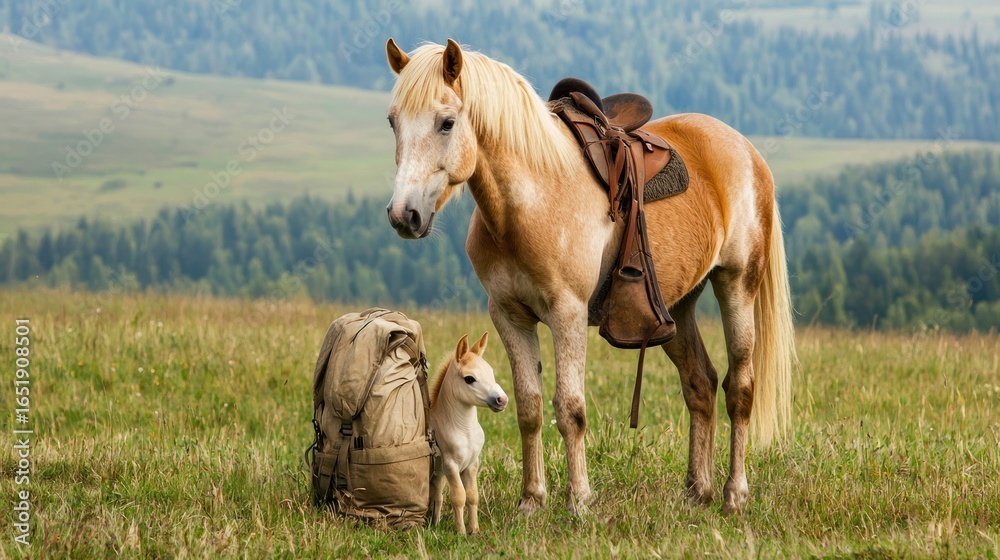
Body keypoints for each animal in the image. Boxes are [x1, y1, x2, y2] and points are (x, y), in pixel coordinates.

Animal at [429, 332, 508, 534]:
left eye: (491, 372)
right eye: (469, 379)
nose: (502, 400)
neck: (464, 430)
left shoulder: (473, 463)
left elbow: (472, 495)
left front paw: (474, 530)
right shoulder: (451, 465)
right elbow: (459, 496)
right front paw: (461, 532)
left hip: (438, 470)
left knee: (437, 493)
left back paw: (436, 523)